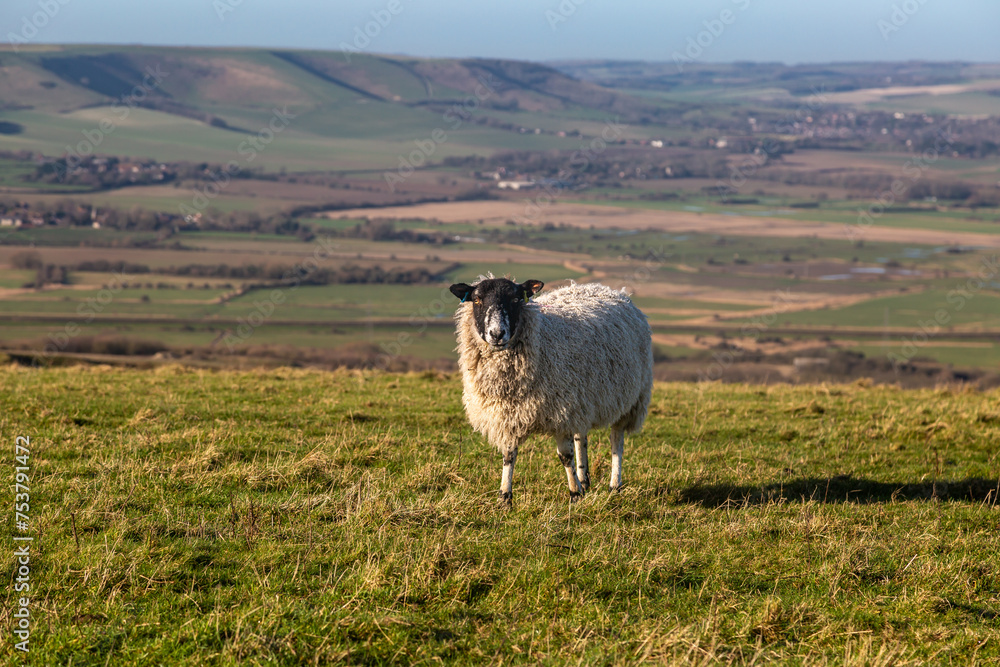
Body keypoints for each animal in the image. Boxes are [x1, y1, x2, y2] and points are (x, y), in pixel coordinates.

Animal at [450, 276, 653, 504]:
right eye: (477, 300)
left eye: (516, 299)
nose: (497, 334)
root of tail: (610, 290)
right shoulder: (509, 415)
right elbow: (509, 456)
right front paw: (505, 497)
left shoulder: (560, 412)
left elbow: (565, 456)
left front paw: (574, 494)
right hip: (582, 399)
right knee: (581, 437)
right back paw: (585, 479)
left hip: (630, 398)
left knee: (617, 440)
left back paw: (614, 485)